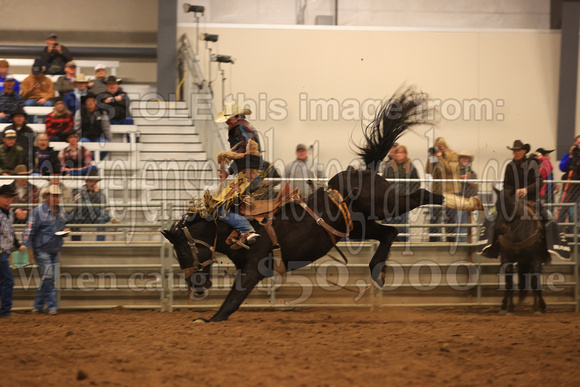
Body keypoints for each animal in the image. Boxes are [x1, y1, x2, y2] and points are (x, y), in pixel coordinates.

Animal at [161, 87, 482, 322]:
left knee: (420, 196)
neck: (226, 227)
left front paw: (208, 319)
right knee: (389, 233)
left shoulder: (254, 267)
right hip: (356, 227)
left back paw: (466, 202)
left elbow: (232, 300)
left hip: (385, 203)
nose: (194, 287)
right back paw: (377, 272)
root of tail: (364, 170)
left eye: (182, 251)